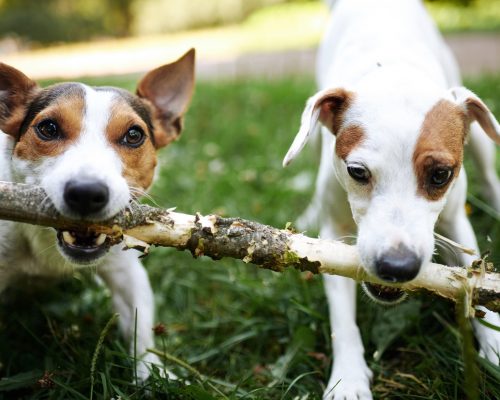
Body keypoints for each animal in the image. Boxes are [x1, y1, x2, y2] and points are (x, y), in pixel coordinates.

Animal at [0, 48, 195, 380]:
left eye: (134, 134)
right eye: (48, 128)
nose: (86, 193)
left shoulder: (126, 271)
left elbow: (139, 328)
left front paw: (151, 373)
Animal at [284, 0, 498, 400]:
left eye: (441, 175)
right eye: (357, 171)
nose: (397, 266)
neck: (392, 70)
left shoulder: (457, 223)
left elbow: (474, 280)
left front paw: (494, 344)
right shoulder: (333, 233)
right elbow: (341, 317)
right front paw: (348, 378)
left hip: (479, 137)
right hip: (315, 134)